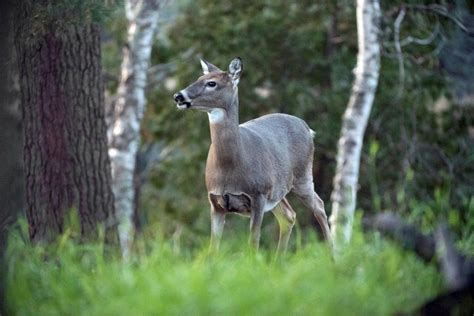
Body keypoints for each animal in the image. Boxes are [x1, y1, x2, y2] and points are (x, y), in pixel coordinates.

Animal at [172, 58, 332, 253]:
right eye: (198, 78)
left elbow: (253, 243)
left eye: (211, 83)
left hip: (302, 176)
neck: (230, 167)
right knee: (289, 215)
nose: (179, 96)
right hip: (278, 189)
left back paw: (334, 256)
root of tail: (307, 128)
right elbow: (213, 248)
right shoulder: (215, 201)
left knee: (319, 206)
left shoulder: (258, 195)